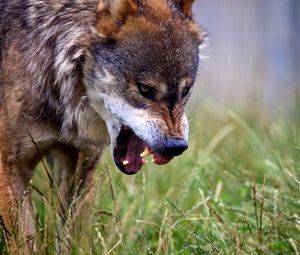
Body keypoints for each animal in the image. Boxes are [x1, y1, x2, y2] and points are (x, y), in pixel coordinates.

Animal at [0, 0, 204, 248]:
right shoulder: (11, 167)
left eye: (185, 91)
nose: (176, 146)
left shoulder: (80, 165)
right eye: (145, 89)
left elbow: (70, 241)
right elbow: (24, 243)